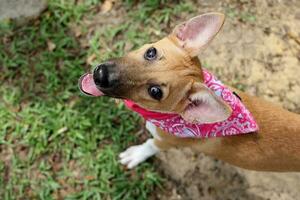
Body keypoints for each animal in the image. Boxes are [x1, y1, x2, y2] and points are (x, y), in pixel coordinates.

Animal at [78, 12, 300, 172]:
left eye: (155, 92)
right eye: (151, 52)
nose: (100, 75)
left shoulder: (165, 142)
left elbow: (150, 145)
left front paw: (136, 154)